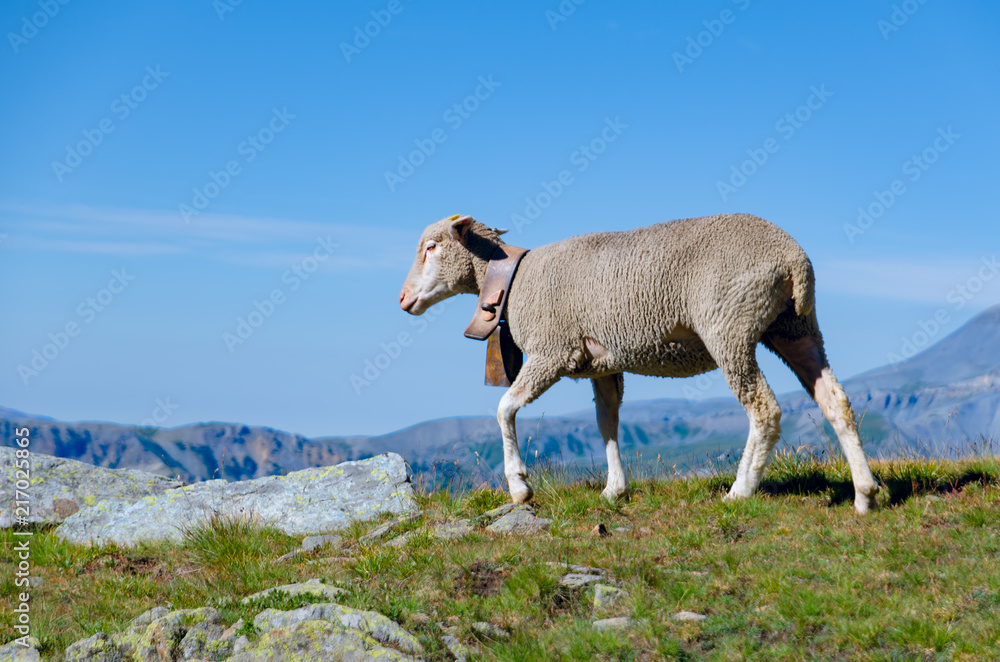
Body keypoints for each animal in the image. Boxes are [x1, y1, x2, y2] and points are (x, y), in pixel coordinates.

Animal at [399, 213, 879, 514]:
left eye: (432, 246)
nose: (403, 300)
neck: (511, 279)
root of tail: (793, 260)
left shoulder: (552, 352)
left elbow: (504, 409)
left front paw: (519, 486)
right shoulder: (601, 363)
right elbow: (607, 422)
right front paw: (614, 489)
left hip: (730, 326)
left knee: (764, 409)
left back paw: (741, 491)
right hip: (795, 327)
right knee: (835, 401)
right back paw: (865, 494)